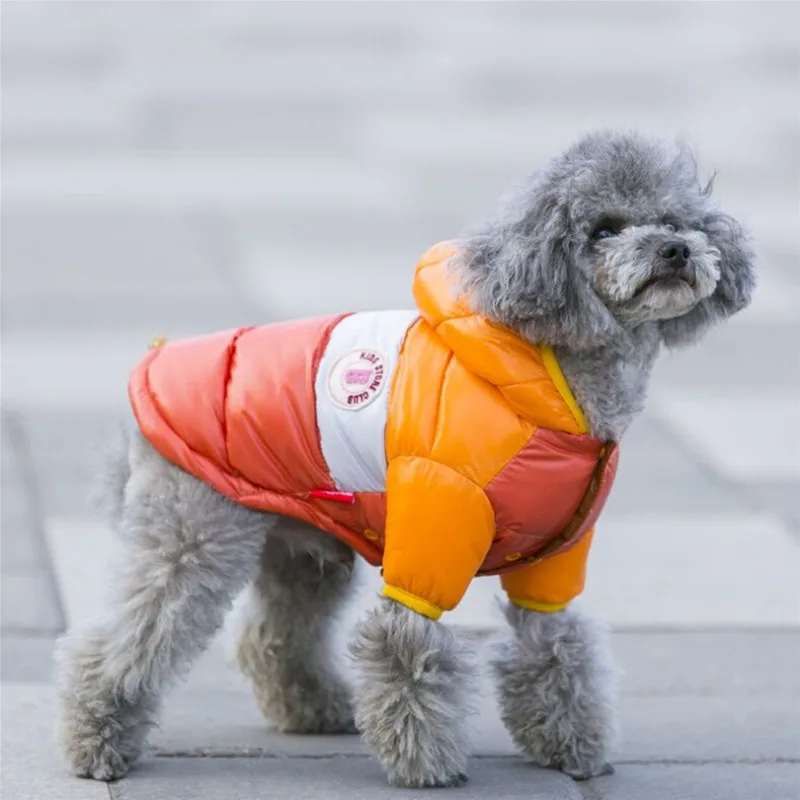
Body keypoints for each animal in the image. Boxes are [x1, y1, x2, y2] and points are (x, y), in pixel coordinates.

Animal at [56, 131, 756, 788]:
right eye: (604, 229)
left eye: (678, 220)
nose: (675, 250)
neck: (555, 381)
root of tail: (152, 368)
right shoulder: (432, 531)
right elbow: (409, 647)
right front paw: (428, 765)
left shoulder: (555, 557)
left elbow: (558, 647)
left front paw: (572, 748)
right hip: (194, 533)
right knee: (124, 638)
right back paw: (97, 742)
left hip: (301, 545)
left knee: (274, 636)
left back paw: (314, 710)